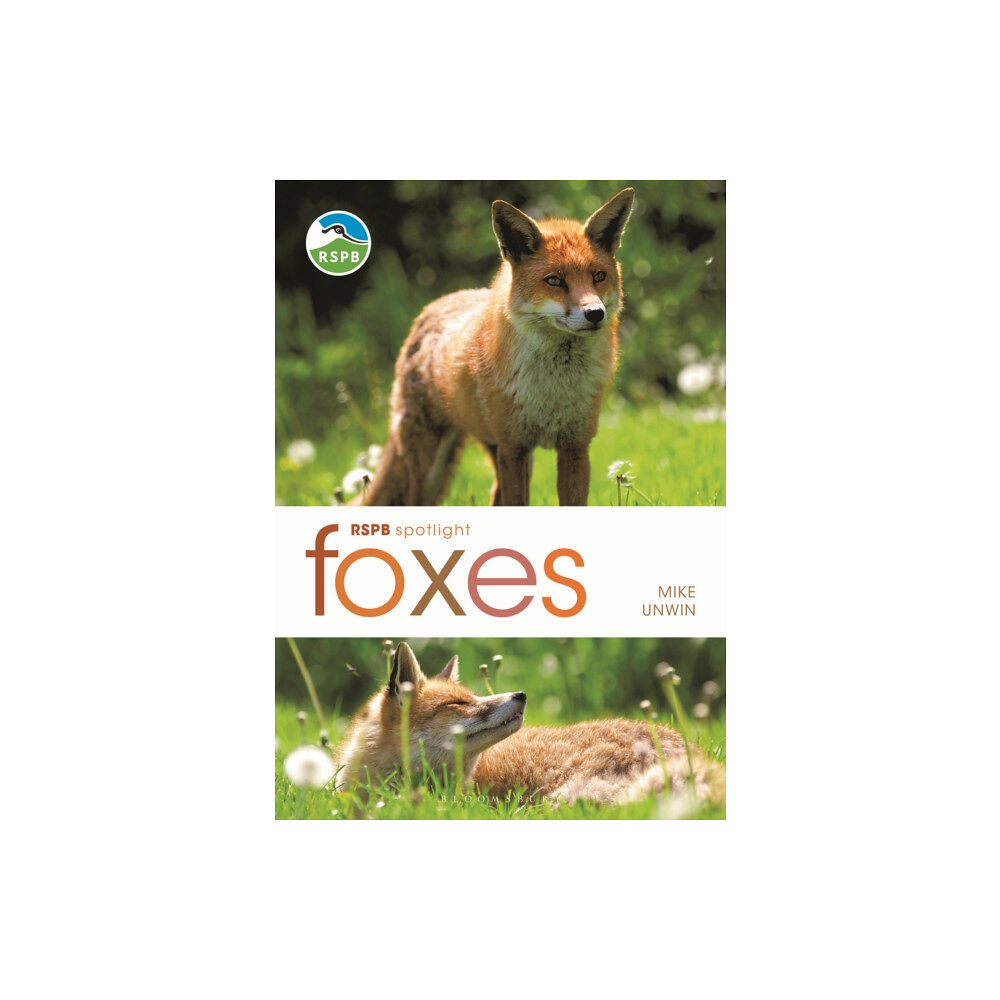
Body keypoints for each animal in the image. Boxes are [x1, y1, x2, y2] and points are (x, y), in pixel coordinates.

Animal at [362, 188, 636, 506]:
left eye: (598, 276)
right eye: (555, 280)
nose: (595, 313)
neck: (552, 389)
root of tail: (430, 309)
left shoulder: (575, 447)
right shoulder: (514, 447)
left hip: (493, 453)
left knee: (494, 496)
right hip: (431, 467)